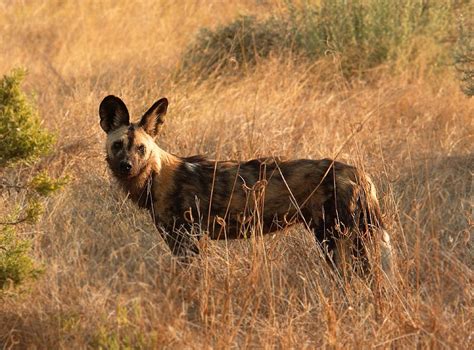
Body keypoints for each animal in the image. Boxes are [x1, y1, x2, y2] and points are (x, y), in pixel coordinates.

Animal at [102, 95, 394, 278]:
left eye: (141, 148)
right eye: (118, 145)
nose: (126, 166)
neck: (157, 175)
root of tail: (357, 172)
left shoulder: (186, 241)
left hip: (339, 237)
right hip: (337, 238)